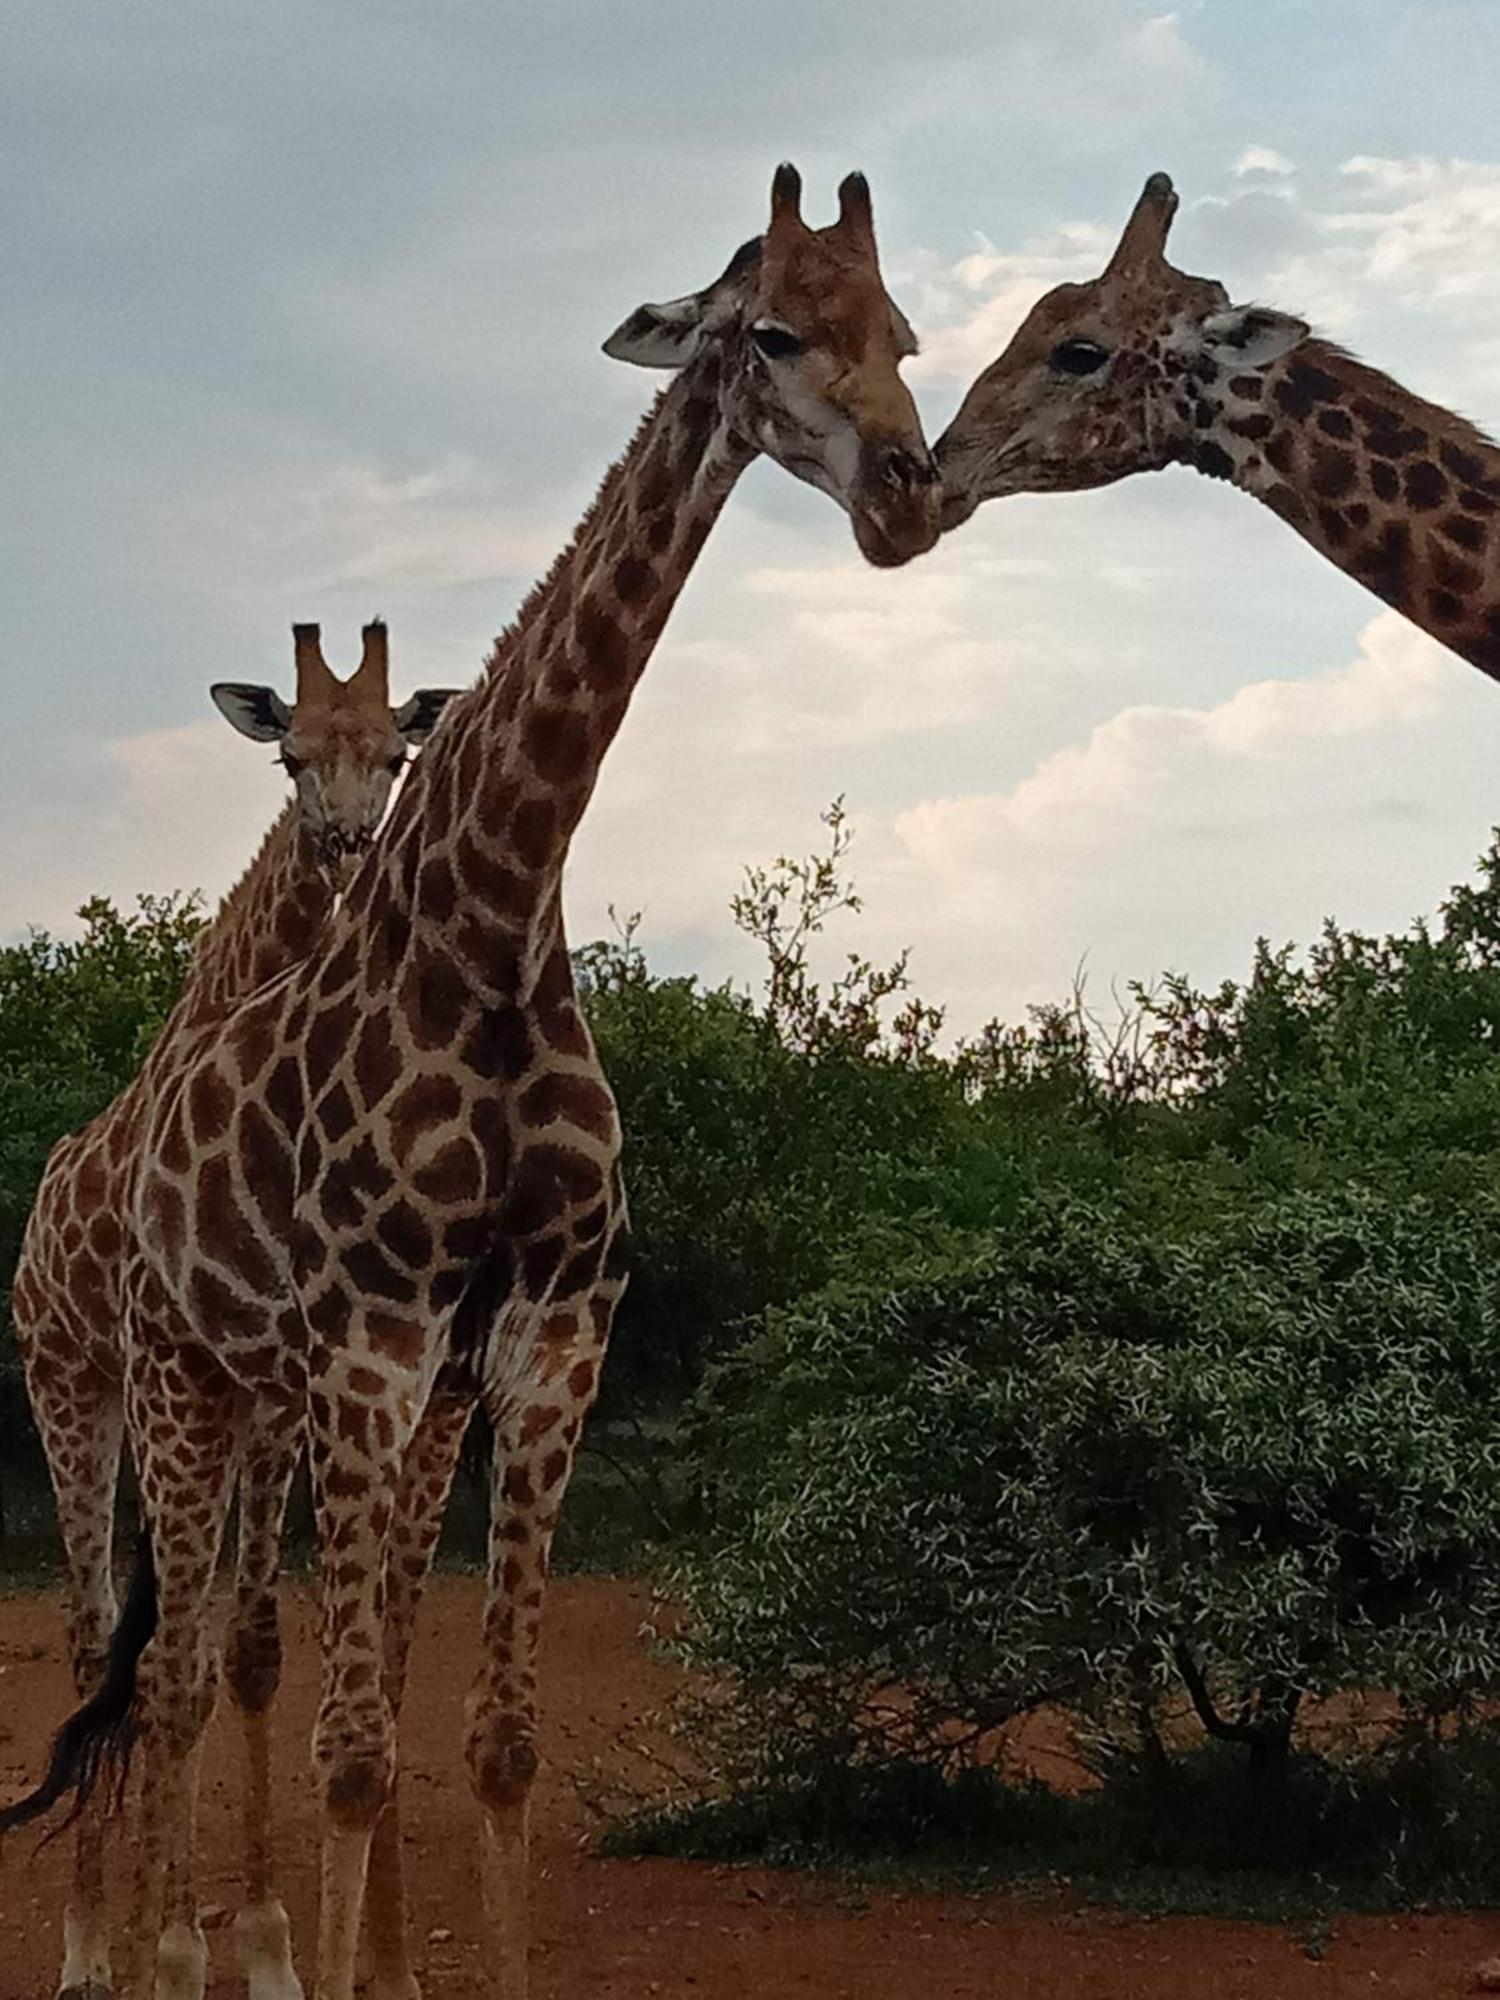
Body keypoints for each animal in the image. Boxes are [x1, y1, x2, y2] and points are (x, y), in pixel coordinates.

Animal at [2, 620, 456, 2000]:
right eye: (289, 756)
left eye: (394, 754)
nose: (350, 847)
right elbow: (169, 1665)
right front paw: (168, 1942)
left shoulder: (275, 1400)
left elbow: (249, 1651)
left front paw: (262, 1946)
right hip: (69, 1383)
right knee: (99, 1639)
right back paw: (90, 1948)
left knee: (178, 1648)